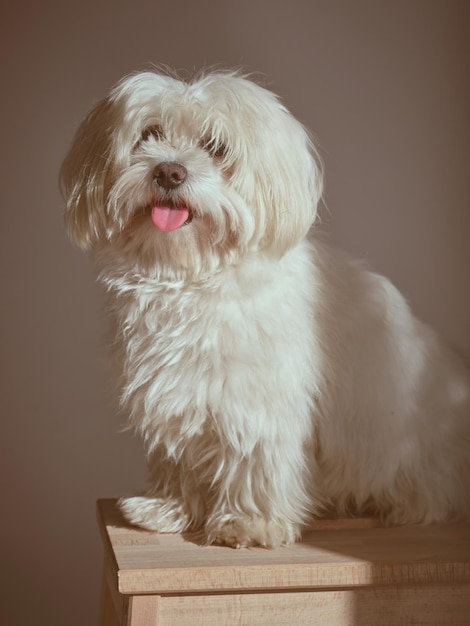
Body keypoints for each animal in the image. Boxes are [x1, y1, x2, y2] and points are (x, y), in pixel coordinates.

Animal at [61, 69, 470, 544]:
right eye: (149, 135)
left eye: (216, 146)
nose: (169, 171)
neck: (188, 278)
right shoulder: (177, 391)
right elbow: (178, 456)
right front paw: (168, 508)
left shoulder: (254, 400)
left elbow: (255, 458)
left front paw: (248, 522)